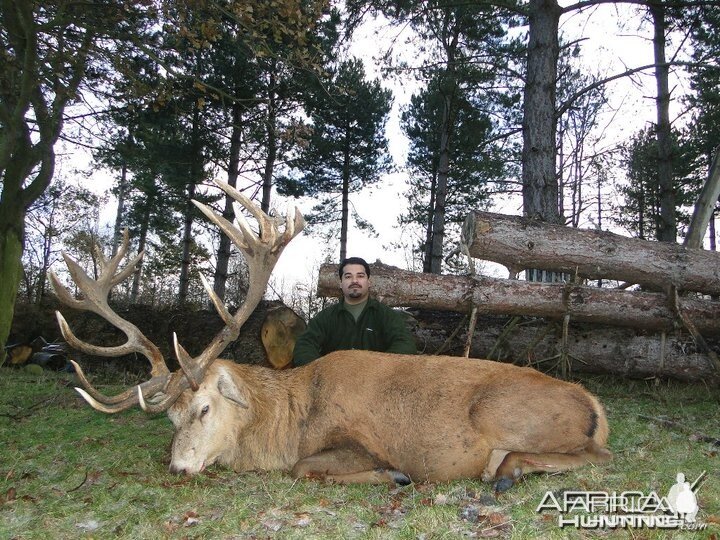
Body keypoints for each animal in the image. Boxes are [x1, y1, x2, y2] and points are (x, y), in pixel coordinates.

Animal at [52, 179, 612, 492]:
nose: (178, 468)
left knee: (590, 457)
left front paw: (394, 476)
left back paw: (506, 471)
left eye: (205, 407)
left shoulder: (357, 443)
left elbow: (305, 469)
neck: (286, 423)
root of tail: (596, 407)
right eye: (169, 417)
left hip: (504, 413)